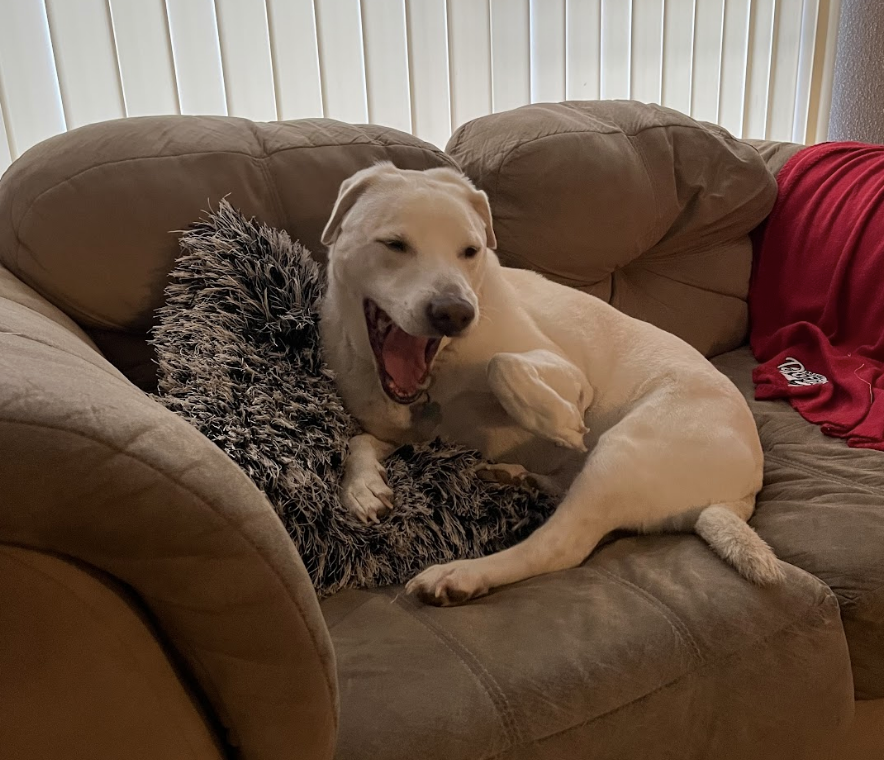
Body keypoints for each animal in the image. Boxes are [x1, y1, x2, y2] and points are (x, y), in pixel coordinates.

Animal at [318, 162, 780, 604]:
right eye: (394, 244)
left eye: (470, 251)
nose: (456, 312)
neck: (437, 372)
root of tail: (744, 491)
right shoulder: (402, 432)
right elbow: (359, 441)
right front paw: (362, 488)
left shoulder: (569, 372)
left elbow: (502, 365)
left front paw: (559, 422)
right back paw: (515, 477)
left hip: (624, 452)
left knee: (558, 544)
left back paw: (462, 574)